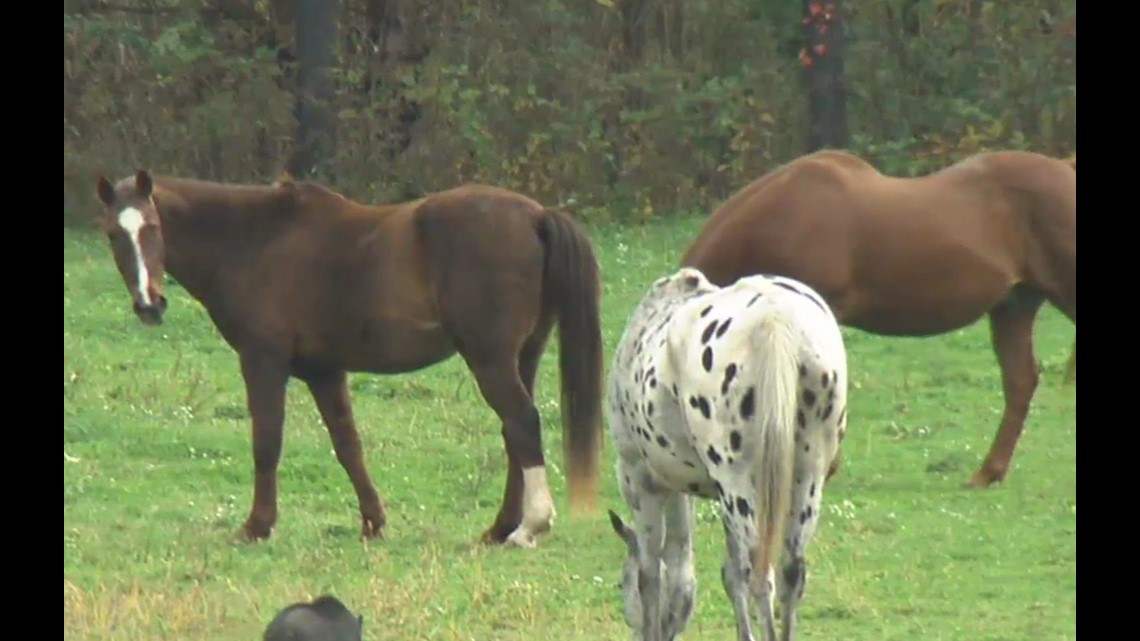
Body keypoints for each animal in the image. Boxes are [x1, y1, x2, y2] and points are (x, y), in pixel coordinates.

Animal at [91, 169, 605, 547]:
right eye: (113, 234)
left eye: (152, 228)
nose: (149, 304)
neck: (253, 240)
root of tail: (536, 215)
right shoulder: (325, 372)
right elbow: (348, 445)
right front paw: (373, 521)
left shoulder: (263, 362)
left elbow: (266, 443)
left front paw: (257, 525)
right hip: (521, 357)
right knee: (514, 432)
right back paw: (501, 527)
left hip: (490, 359)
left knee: (522, 422)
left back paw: (530, 526)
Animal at [604, 267, 848, 641]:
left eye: (621, 584)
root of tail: (773, 321)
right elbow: (727, 574)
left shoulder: (641, 480)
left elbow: (654, 574)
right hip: (804, 477)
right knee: (790, 573)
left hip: (737, 482)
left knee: (762, 575)